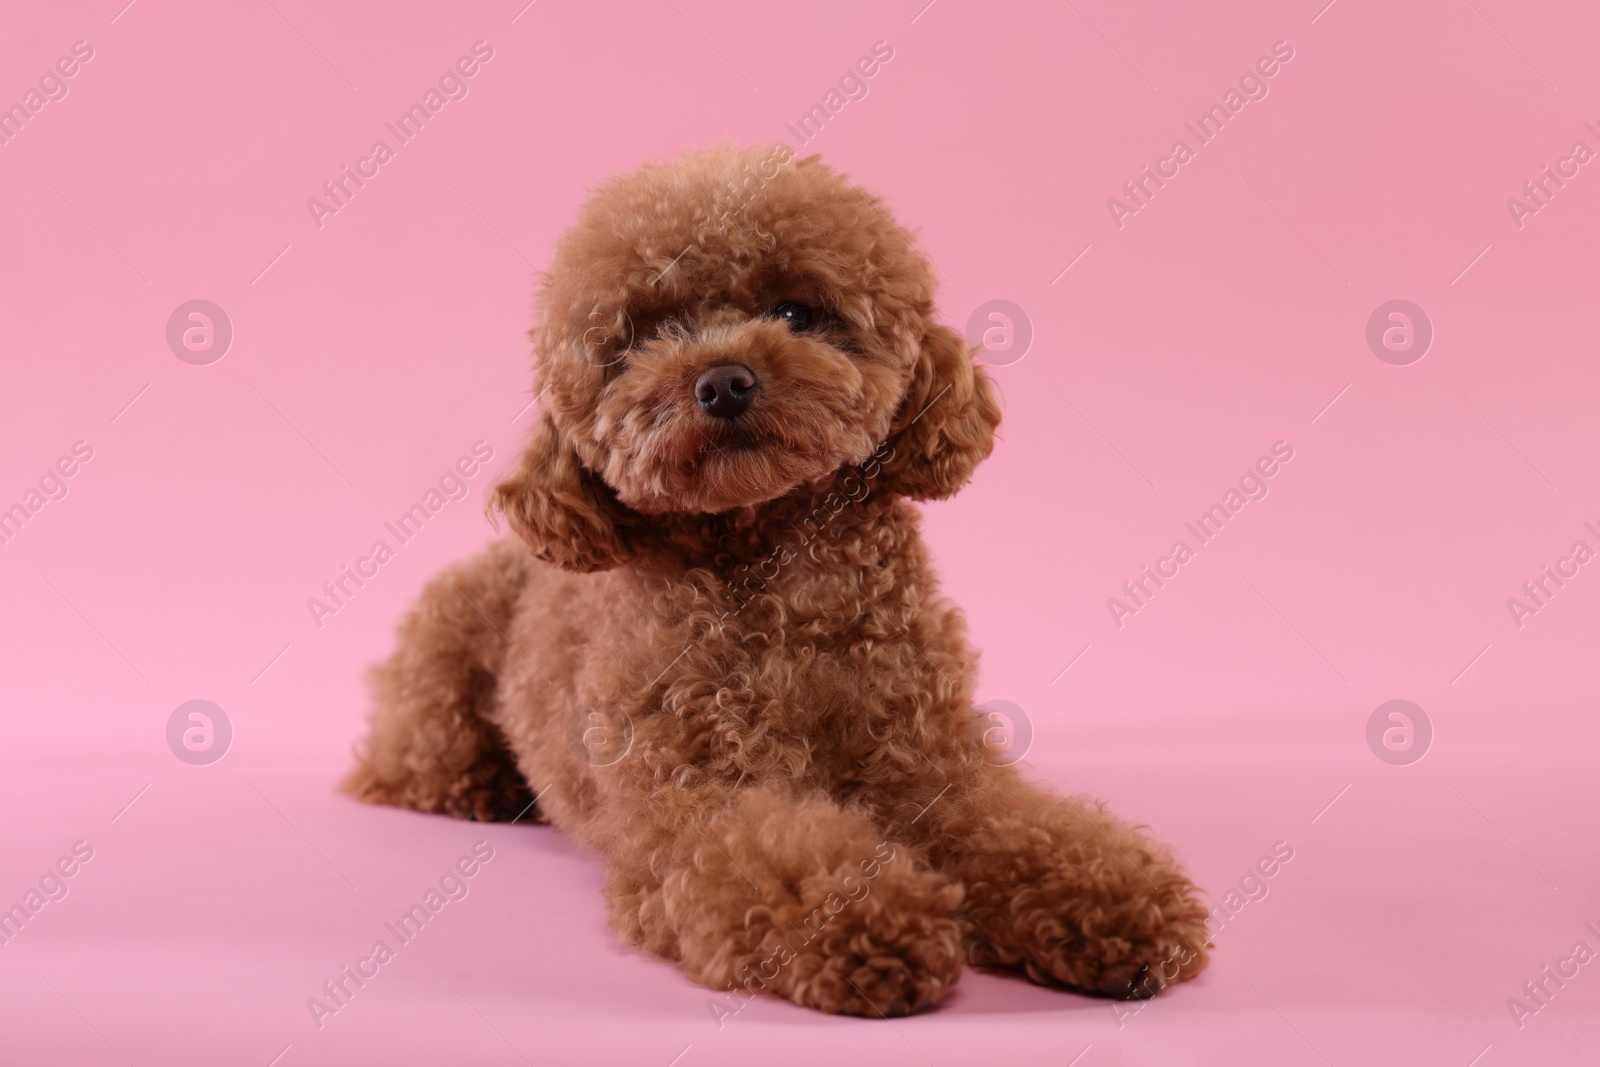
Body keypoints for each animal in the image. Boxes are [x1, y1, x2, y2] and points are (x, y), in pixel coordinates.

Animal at [344, 141, 1203, 1017]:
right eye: (648, 334)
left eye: (794, 311)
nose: (723, 381)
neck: (789, 584)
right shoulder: (695, 795)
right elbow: (769, 852)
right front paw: (872, 921)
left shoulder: (934, 763)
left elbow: (1018, 826)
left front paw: (1114, 904)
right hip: (440, 659)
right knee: (410, 756)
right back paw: (480, 786)